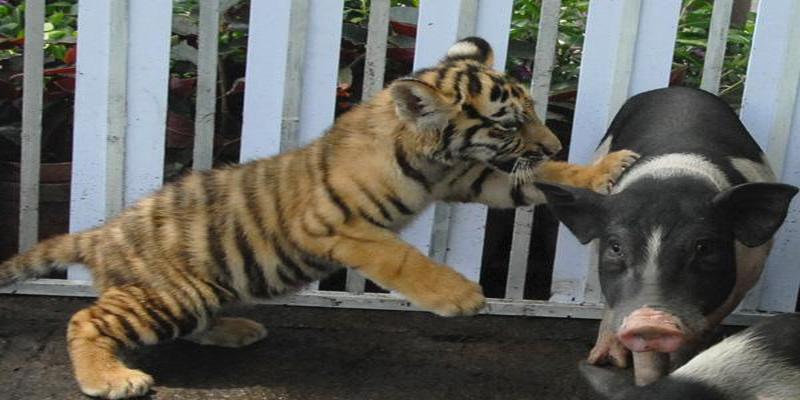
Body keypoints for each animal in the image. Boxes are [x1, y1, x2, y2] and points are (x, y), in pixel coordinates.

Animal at [536, 87, 796, 384]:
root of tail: (679, 89)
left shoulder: (743, 278)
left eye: (704, 247)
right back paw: (604, 359)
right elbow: (645, 354)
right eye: (616, 246)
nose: (650, 320)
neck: (671, 177)